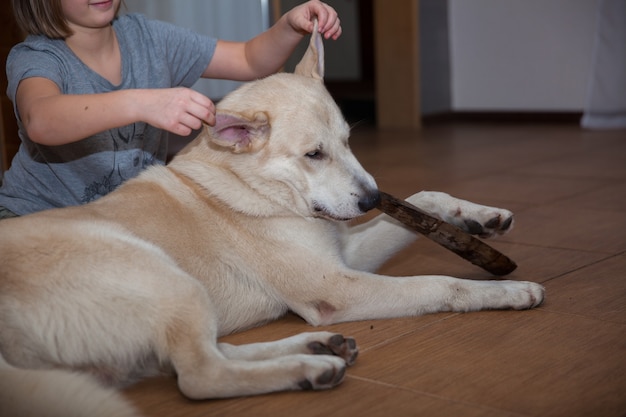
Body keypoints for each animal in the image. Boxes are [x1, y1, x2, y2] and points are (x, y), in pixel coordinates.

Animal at [0, 23, 540, 416]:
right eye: (313, 154)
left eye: (348, 140)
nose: (371, 199)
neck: (246, 186)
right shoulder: (336, 287)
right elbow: (440, 284)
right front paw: (510, 292)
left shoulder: (344, 251)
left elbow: (424, 196)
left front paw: (482, 218)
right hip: (162, 276)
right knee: (199, 375)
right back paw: (308, 368)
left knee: (198, 358)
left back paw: (316, 347)